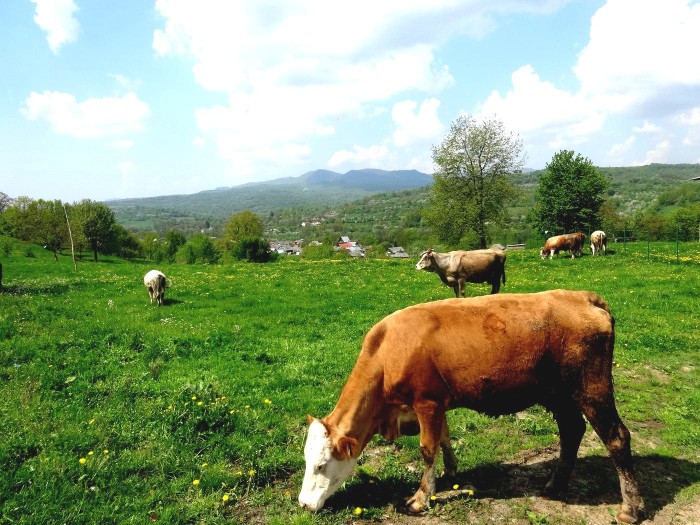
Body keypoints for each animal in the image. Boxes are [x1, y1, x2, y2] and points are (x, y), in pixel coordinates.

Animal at [296, 288, 644, 520]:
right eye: (306, 461)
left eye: (321, 465)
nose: (302, 504)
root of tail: (583, 296)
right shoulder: (437, 404)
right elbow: (444, 439)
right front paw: (450, 473)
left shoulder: (427, 402)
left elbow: (427, 449)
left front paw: (421, 497)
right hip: (558, 394)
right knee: (571, 430)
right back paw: (555, 486)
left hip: (592, 388)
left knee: (616, 437)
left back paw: (630, 507)